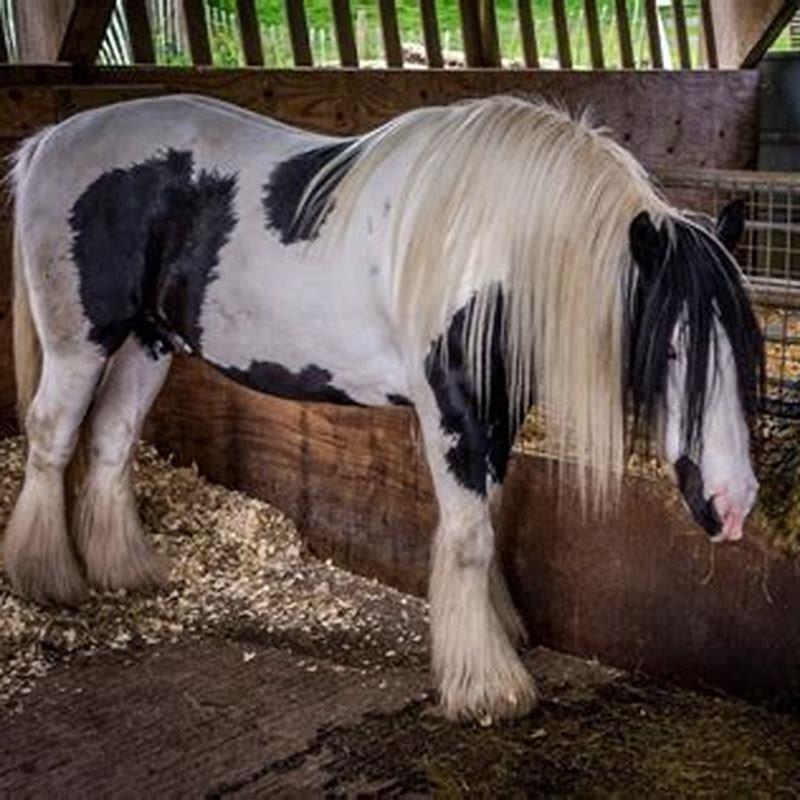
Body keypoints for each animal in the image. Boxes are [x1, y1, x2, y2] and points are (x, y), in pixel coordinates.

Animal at [3, 94, 764, 722]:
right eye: (673, 350)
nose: (734, 505)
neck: (491, 247)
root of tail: (52, 140)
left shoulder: (493, 413)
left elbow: (482, 520)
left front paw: (492, 637)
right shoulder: (453, 410)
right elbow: (469, 535)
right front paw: (486, 687)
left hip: (149, 341)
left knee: (111, 440)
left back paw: (125, 571)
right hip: (80, 344)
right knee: (52, 437)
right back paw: (46, 578)